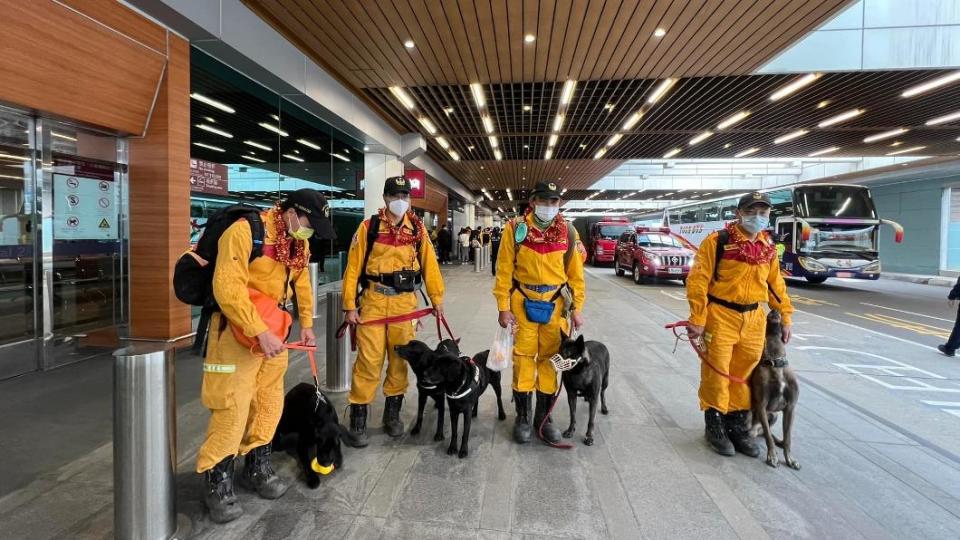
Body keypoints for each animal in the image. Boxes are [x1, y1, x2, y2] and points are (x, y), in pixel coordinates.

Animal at [752, 310, 804, 470]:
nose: (774, 310)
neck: (775, 362)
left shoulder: (790, 408)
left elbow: (787, 439)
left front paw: (790, 459)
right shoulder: (761, 405)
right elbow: (769, 436)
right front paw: (772, 456)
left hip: (773, 415)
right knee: (764, 432)